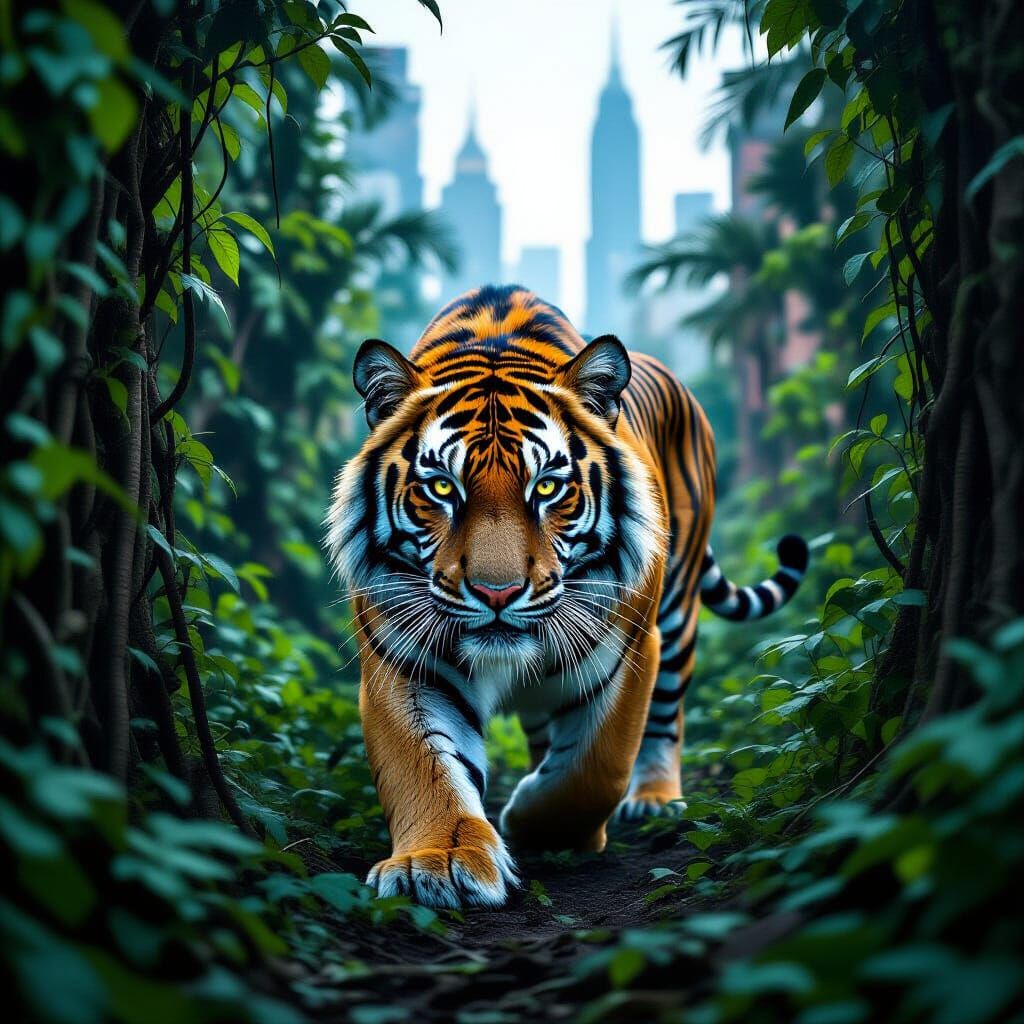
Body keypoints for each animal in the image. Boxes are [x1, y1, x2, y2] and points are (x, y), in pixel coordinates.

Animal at [325, 284, 808, 909]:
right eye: (442, 488)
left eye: (549, 487)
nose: (497, 592)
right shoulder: (405, 660)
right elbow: (422, 763)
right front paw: (440, 861)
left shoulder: (630, 648)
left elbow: (593, 769)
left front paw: (534, 824)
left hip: (677, 613)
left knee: (666, 719)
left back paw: (653, 799)